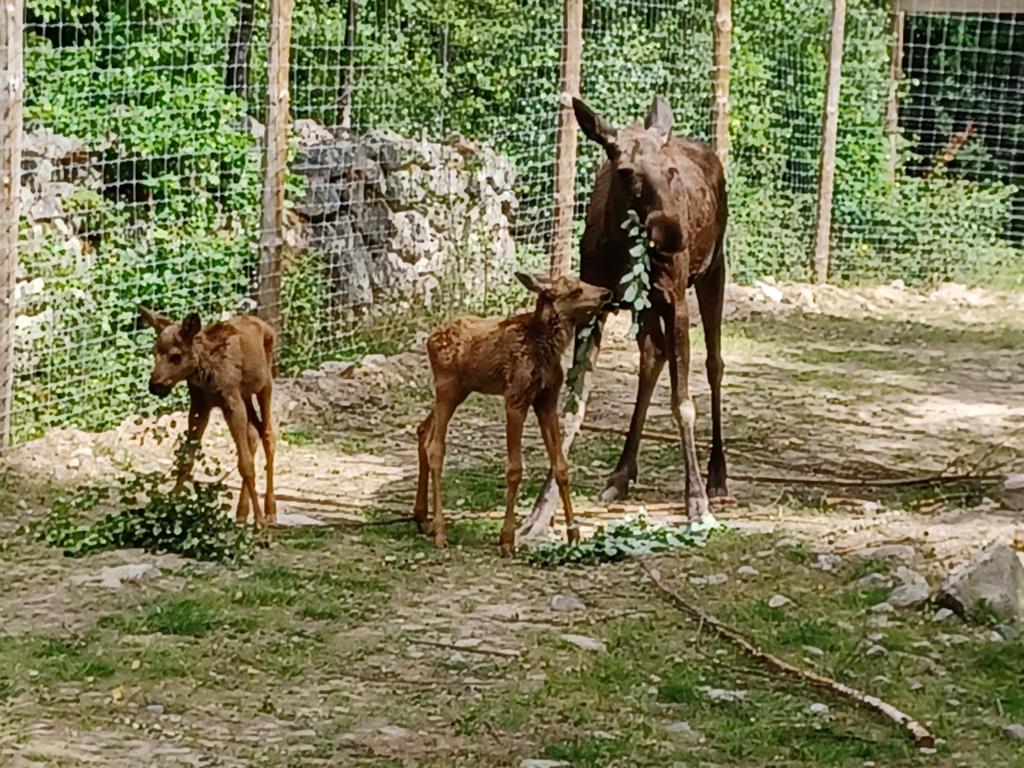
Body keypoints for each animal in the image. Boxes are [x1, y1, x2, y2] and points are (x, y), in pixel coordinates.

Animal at [140, 309, 278, 532]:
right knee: (253, 434)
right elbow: (186, 458)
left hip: (265, 385)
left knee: (268, 435)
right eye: (154, 352)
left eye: (176, 356)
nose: (155, 385)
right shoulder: (199, 404)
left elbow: (245, 463)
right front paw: (170, 506)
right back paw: (241, 512)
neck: (204, 373)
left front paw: (259, 520)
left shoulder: (231, 400)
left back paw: (270, 511)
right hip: (246, 396)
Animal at [413, 274, 606, 557]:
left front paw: (574, 534)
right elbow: (515, 468)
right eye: (575, 290)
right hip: (447, 385)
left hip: (461, 389)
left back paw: (421, 518)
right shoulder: (515, 397)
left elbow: (560, 466)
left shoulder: (547, 400)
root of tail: (430, 339)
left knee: (423, 430)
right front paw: (506, 539)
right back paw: (440, 531)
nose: (607, 293)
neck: (546, 349)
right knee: (436, 447)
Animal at [520, 94, 729, 540]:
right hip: (644, 304)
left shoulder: (675, 299)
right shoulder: (595, 304)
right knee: (653, 355)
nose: (671, 234)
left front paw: (696, 502)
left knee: (714, 363)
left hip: (713, 270)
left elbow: (683, 402)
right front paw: (540, 512)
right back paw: (621, 472)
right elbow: (572, 409)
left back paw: (717, 475)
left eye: (670, 170)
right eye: (626, 172)